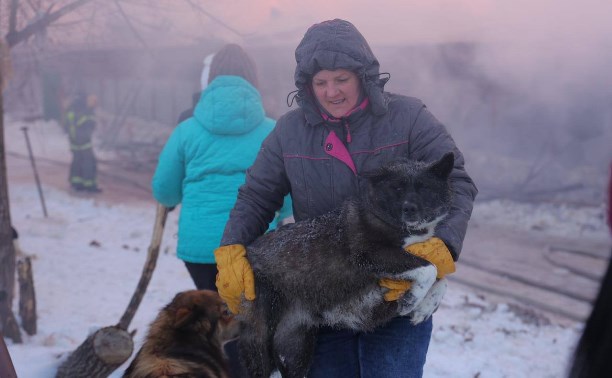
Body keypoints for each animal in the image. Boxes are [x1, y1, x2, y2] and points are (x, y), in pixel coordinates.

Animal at [239, 152, 454, 376]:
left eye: (424, 188)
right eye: (397, 188)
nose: (409, 208)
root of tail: (249, 252)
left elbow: (441, 276)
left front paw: (425, 306)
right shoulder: (371, 254)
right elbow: (429, 269)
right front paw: (415, 298)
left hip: (294, 348)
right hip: (261, 338)